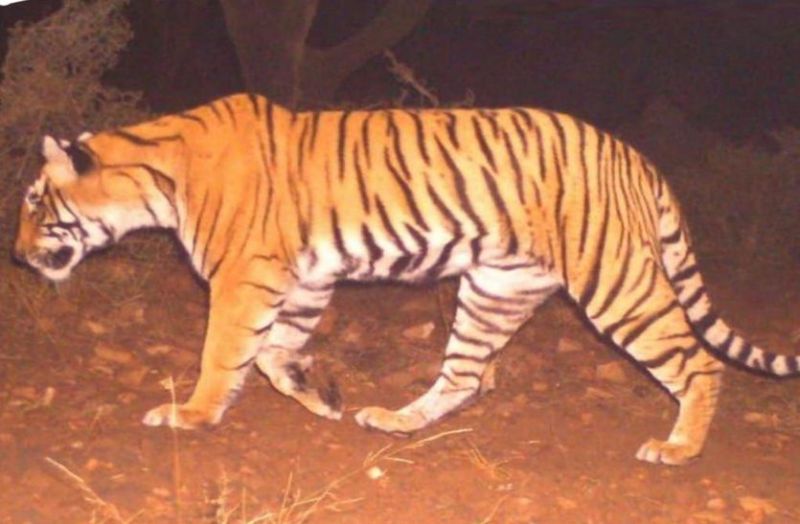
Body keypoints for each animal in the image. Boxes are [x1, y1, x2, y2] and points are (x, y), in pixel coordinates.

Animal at [13, 93, 800, 466]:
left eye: (32, 204)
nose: (16, 257)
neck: (154, 176)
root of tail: (635, 155)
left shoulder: (244, 277)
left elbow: (224, 355)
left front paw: (192, 416)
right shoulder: (303, 279)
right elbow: (272, 356)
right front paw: (319, 395)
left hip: (617, 285)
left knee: (698, 364)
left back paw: (679, 448)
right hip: (494, 290)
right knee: (465, 375)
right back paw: (392, 420)